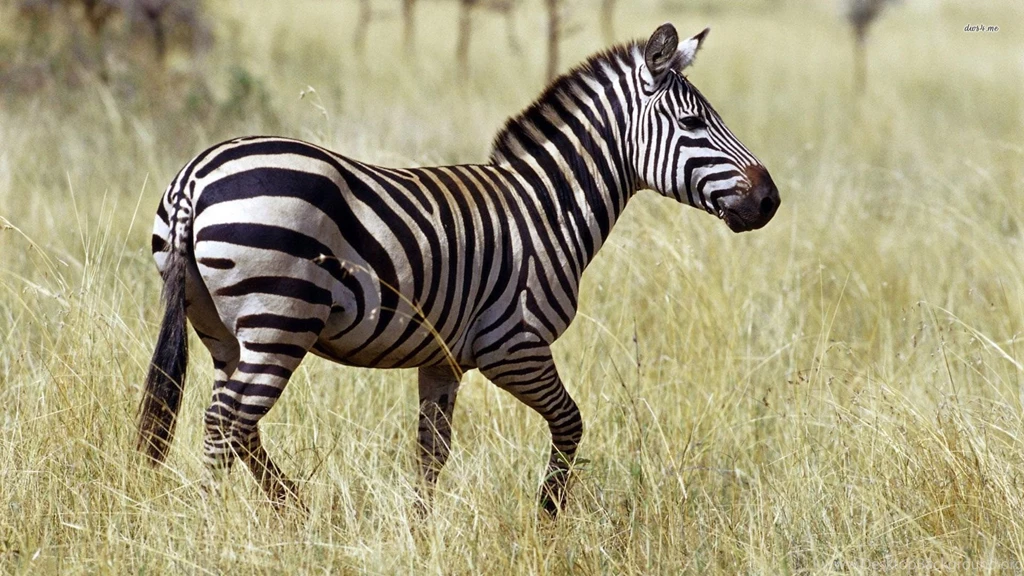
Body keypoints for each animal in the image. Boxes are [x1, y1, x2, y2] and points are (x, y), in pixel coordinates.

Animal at [137, 23, 779, 515]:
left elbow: (431, 453)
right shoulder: (511, 344)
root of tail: (194, 175)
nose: (769, 200)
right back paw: (216, 523)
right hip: (280, 321)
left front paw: (422, 529)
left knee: (238, 423)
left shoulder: (442, 358)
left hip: (221, 327)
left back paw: (294, 509)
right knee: (224, 422)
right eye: (693, 125)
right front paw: (547, 515)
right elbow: (570, 423)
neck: (546, 207)